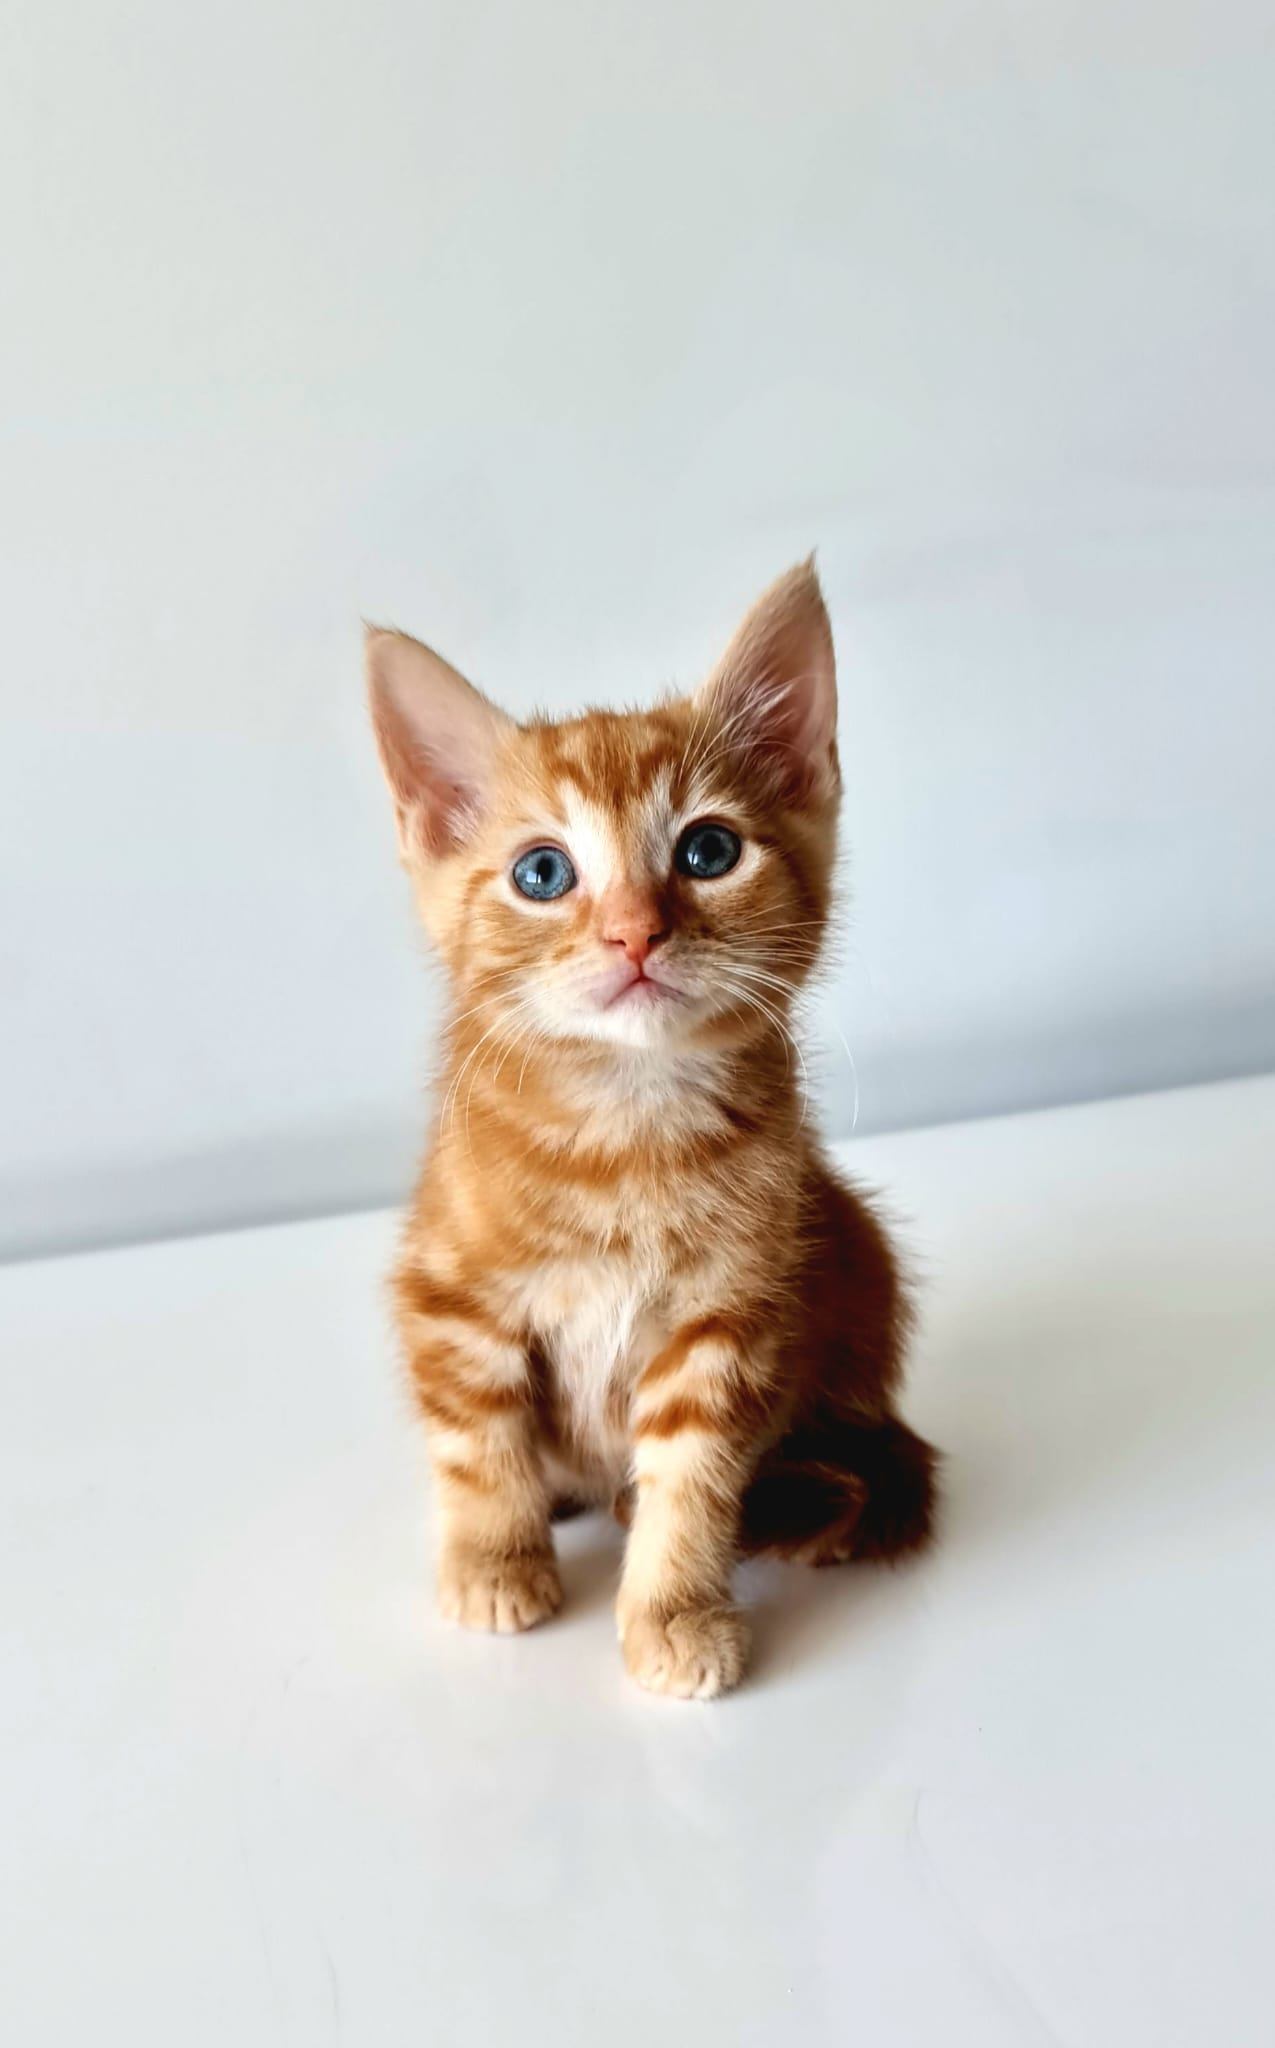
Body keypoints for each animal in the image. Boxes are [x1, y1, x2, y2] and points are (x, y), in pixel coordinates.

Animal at [366, 560, 938, 1699]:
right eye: (542, 872)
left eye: (708, 849)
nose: (635, 931)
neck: (626, 1134)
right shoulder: (449, 1293)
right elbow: (476, 1440)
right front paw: (494, 1560)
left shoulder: (731, 1315)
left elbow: (693, 1474)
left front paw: (674, 1610)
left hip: (851, 1242)